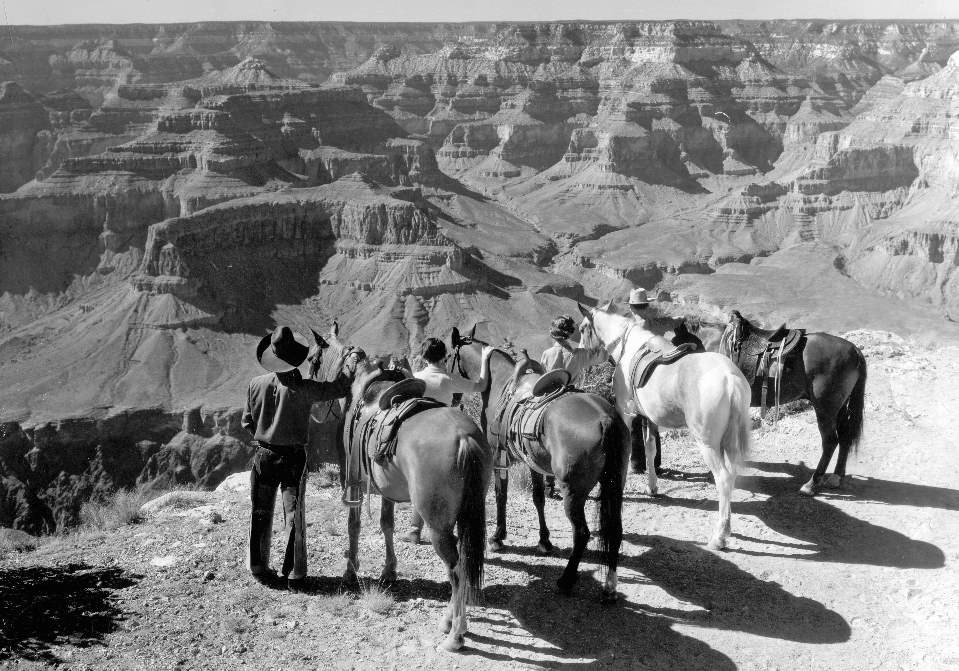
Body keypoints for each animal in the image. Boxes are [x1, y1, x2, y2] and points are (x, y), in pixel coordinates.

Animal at [340, 360, 496, 652]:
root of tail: (464, 439)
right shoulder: (386, 487)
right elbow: (386, 524)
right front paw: (389, 571)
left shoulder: (354, 479)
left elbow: (353, 525)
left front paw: (351, 571)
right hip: (465, 514)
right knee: (463, 562)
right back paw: (451, 622)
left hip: (438, 527)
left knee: (455, 570)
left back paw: (455, 635)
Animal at [450, 328, 632, 600]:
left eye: (447, 358)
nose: (453, 398)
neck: (499, 382)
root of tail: (605, 418)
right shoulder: (532, 461)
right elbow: (538, 498)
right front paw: (544, 541)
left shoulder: (497, 455)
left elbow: (500, 495)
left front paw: (498, 537)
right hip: (615, 483)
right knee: (614, 530)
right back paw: (609, 586)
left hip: (573, 491)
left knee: (582, 533)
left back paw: (566, 580)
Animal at [572, 304, 752, 552]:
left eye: (582, 328)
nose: (579, 357)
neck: (627, 346)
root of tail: (729, 379)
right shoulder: (650, 417)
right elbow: (650, 449)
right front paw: (652, 487)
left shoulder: (626, 414)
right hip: (729, 441)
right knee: (732, 475)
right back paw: (727, 527)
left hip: (708, 444)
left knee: (723, 479)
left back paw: (719, 537)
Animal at [720, 312, 872, 496]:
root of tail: (855, 351)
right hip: (840, 407)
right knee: (844, 436)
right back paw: (836, 477)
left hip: (825, 409)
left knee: (830, 441)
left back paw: (811, 484)